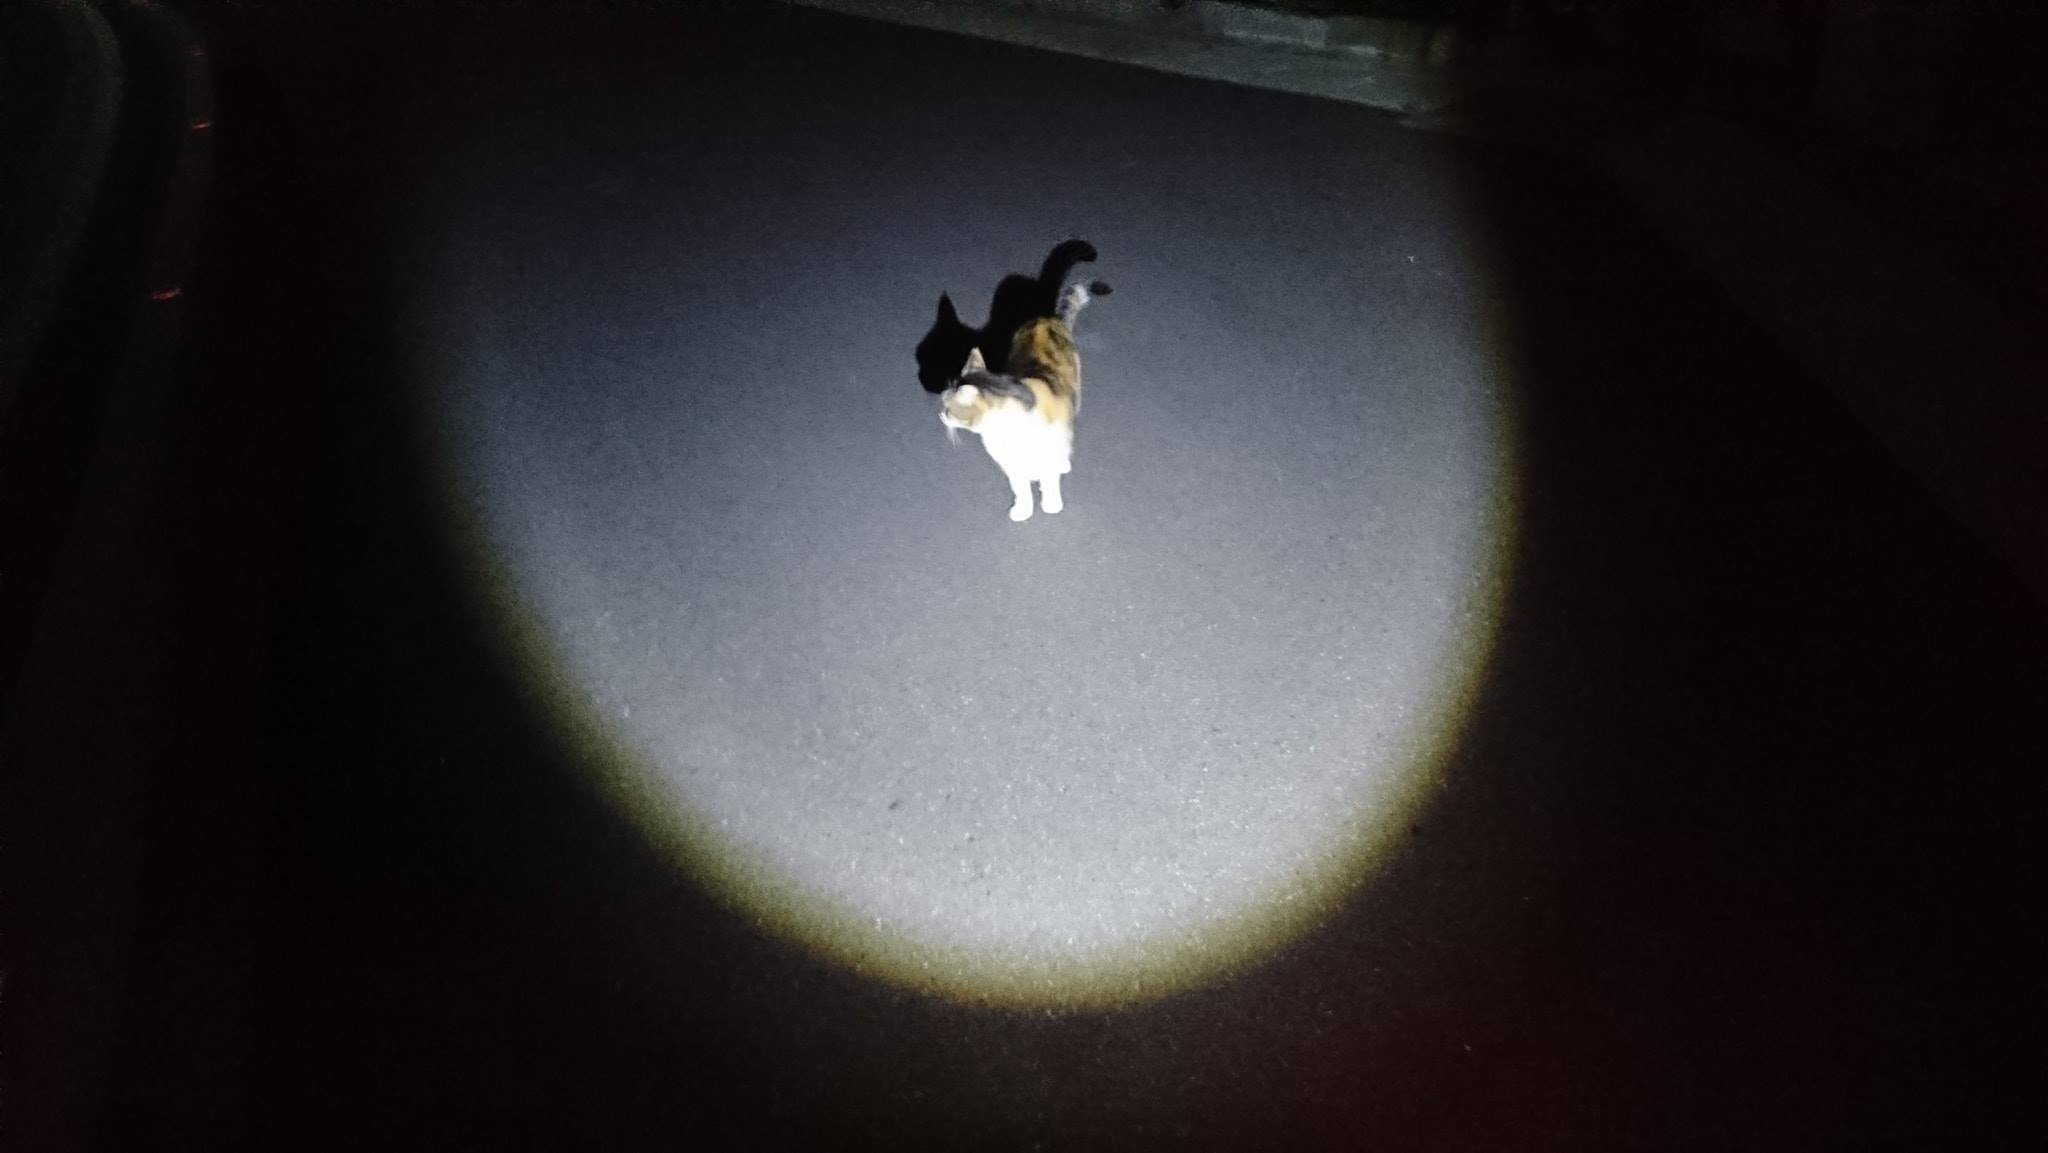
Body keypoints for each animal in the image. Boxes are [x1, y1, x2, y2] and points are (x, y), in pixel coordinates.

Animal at [939, 280, 1105, 522]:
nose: (940, 414)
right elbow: (1020, 488)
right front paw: (1023, 509)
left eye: (949, 408)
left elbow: (1049, 478)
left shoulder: (1049, 449)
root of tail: (1046, 318)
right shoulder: (1011, 464)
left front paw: (1051, 503)